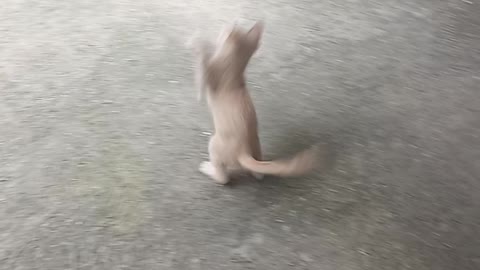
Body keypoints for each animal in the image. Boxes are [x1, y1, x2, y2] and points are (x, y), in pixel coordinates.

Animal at [190, 21, 318, 186]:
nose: (228, 24)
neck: (235, 69)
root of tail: (244, 152)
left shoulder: (207, 80)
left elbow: (202, 65)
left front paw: (199, 43)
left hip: (214, 143)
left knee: (223, 179)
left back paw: (208, 168)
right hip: (256, 146)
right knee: (258, 174)